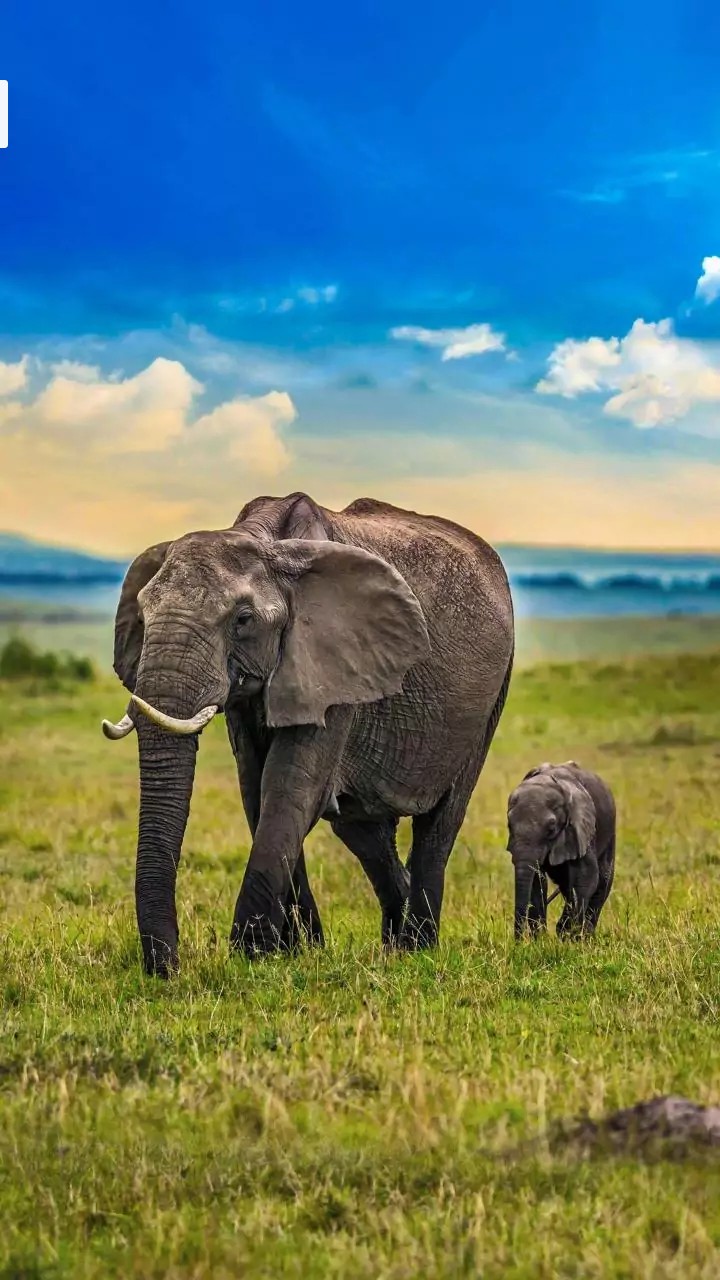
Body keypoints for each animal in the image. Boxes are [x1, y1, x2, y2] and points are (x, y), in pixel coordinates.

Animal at [102, 491, 515, 976]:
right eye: (143, 616)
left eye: (242, 620)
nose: (166, 970)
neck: (266, 543)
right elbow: (257, 791)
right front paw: (300, 953)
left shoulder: (335, 661)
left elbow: (290, 789)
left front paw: (251, 956)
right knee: (365, 835)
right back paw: (393, 945)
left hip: (490, 700)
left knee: (440, 821)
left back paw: (418, 948)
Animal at [507, 761, 616, 940]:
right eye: (509, 826)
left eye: (551, 828)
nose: (518, 941)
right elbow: (537, 880)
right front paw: (540, 939)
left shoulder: (581, 827)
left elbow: (586, 877)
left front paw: (568, 934)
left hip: (610, 830)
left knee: (603, 879)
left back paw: (584, 936)